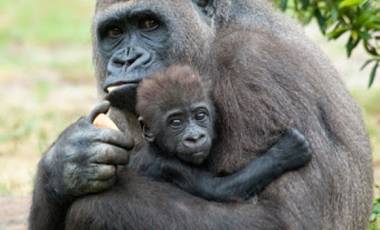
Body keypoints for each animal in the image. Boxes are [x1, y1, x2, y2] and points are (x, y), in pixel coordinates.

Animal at [131, 64, 312, 201]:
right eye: (176, 123)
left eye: (200, 116)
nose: (195, 137)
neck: (157, 147)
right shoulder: (168, 164)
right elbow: (217, 188)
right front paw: (285, 153)